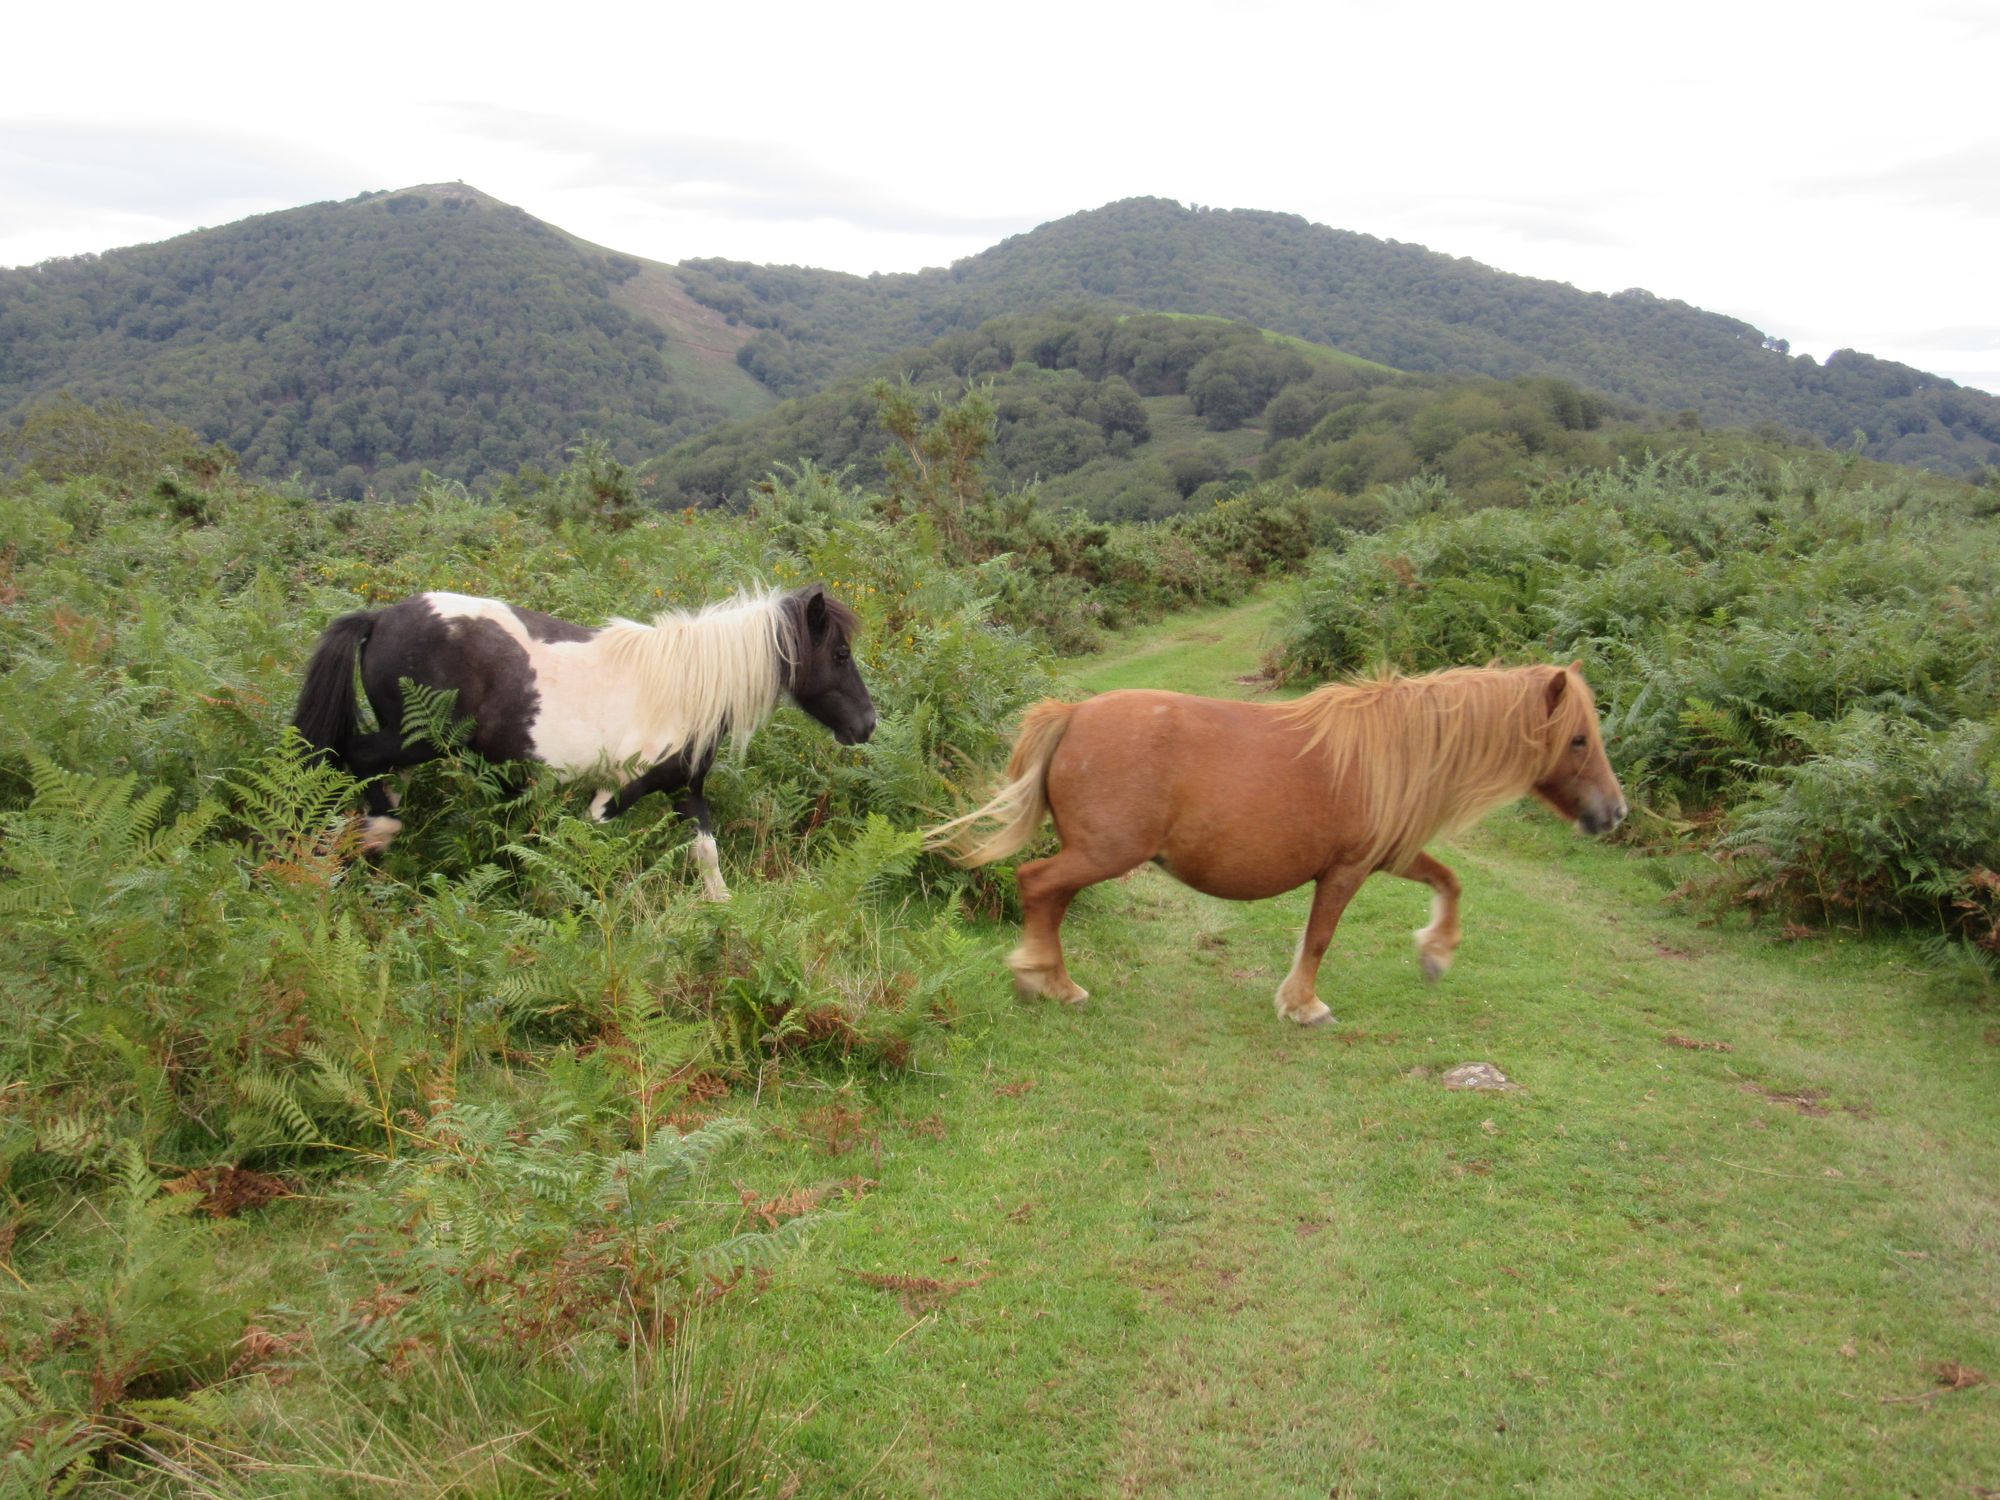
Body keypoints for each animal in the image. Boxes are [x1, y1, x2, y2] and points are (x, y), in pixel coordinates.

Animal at [292, 584, 876, 892]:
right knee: (354, 759)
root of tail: (378, 618)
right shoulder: (615, 792)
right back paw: (372, 836)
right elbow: (591, 850)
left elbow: (707, 855)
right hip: (419, 738)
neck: (684, 686)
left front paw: (724, 912)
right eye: (841, 654)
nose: (868, 724)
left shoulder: (685, 789)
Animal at [928, 664, 1632, 1032]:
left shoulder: (1392, 855)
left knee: (1047, 895)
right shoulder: (1348, 870)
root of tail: (1074, 714)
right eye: (1577, 740)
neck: (1389, 753)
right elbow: (1319, 939)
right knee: (1039, 886)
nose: (1615, 813)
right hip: (1104, 854)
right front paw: (1304, 1004)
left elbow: (1449, 881)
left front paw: (1435, 955)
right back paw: (1046, 980)